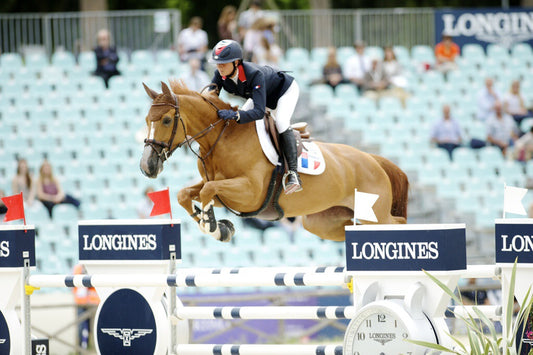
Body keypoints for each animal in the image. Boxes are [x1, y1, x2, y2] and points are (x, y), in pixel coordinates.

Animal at [138, 79, 408, 243]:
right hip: (324, 222)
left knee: (397, 222)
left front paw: (214, 226)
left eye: (166, 120)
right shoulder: (220, 188)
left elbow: (207, 191)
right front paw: (221, 229)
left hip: (374, 213)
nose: (147, 166)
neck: (223, 138)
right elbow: (186, 194)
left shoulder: (250, 192)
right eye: (146, 120)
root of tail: (374, 160)